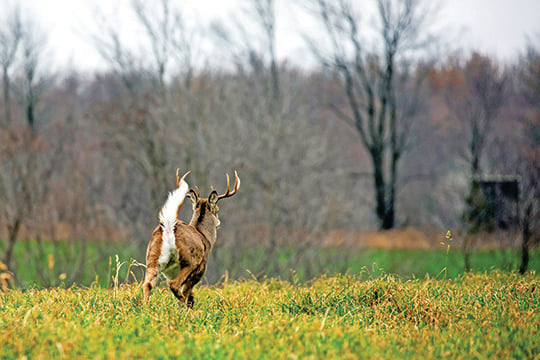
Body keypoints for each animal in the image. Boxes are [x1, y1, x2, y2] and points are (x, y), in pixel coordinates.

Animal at [142, 168, 239, 306]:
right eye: (218, 210)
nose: (219, 223)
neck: (204, 236)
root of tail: (168, 227)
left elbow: (191, 295)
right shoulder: (200, 269)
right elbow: (188, 293)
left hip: (152, 258)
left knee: (148, 284)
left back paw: (146, 307)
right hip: (189, 261)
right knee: (174, 286)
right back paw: (182, 307)